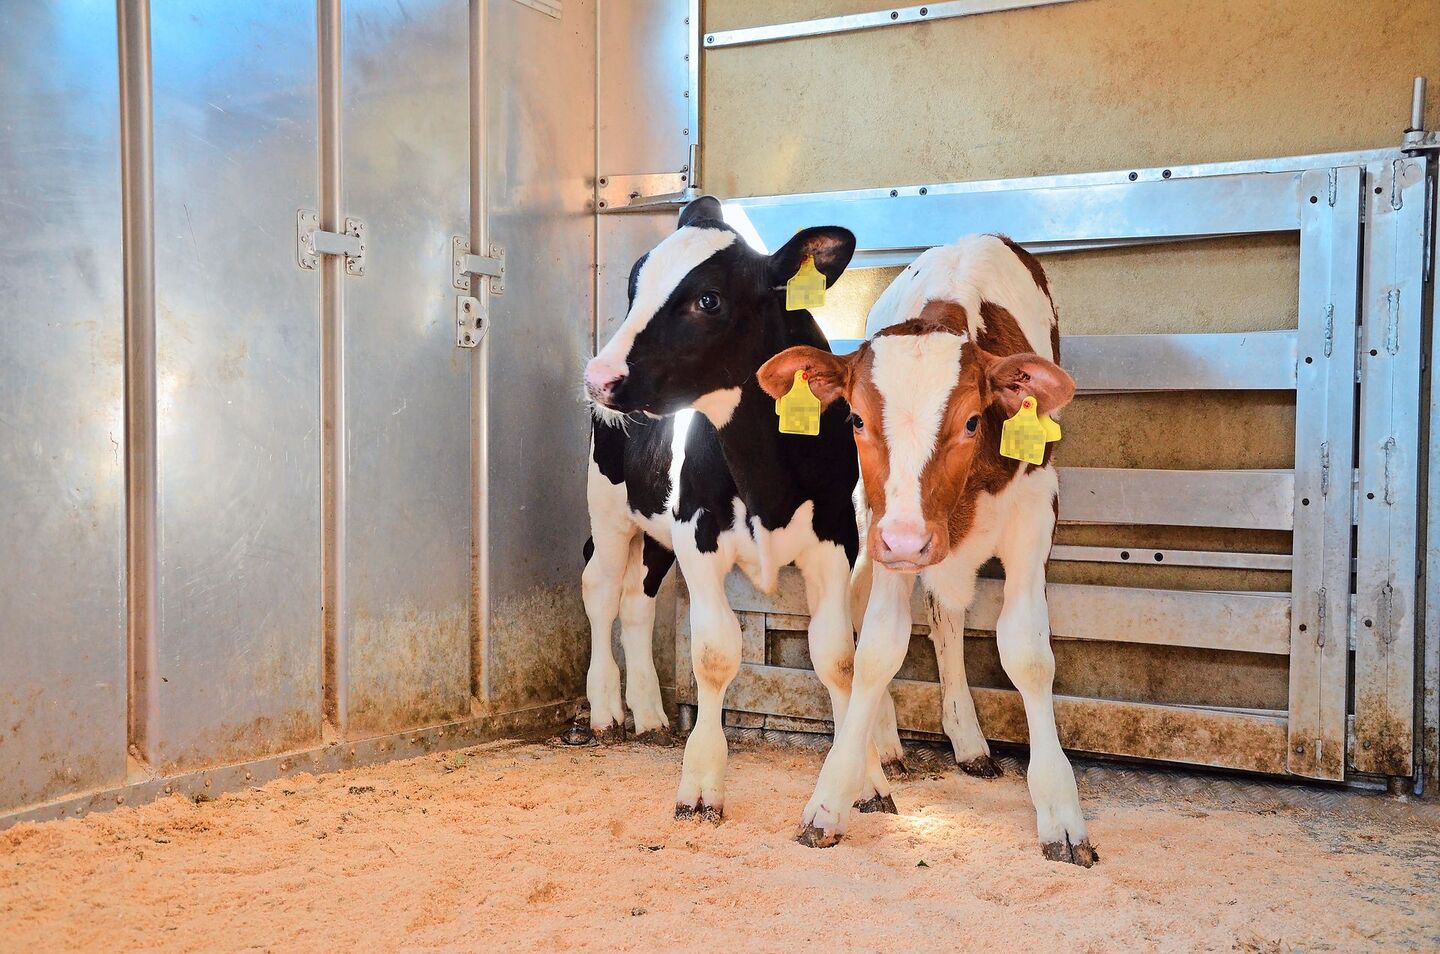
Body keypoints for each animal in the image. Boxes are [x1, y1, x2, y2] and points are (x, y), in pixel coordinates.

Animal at [578, 196, 907, 819]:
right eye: (635, 283)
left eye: (708, 300)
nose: (599, 376)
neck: (764, 472)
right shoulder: (698, 531)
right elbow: (713, 654)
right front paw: (702, 783)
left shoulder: (837, 538)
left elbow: (838, 660)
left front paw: (864, 779)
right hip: (608, 510)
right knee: (601, 592)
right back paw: (606, 707)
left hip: (656, 533)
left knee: (636, 601)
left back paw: (650, 714)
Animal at [758, 234, 1097, 866]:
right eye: (856, 418)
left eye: (972, 421)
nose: (910, 540)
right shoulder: (884, 527)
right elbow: (877, 649)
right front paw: (833, 796)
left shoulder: (1037, 513)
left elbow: (1028, 655)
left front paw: (1061, 812)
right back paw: (888, 744)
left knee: (946, 616)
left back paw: (967, 740)